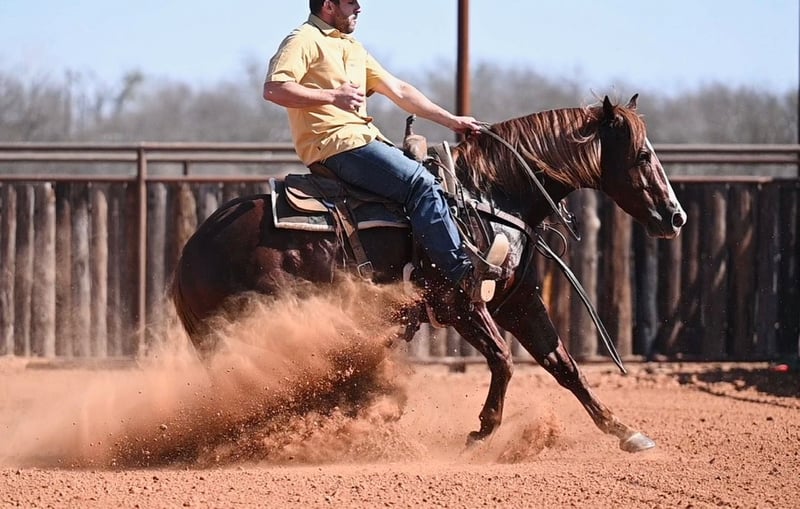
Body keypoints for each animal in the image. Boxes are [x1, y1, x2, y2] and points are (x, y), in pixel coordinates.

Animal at [171, 95, 686, 453]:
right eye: (643, 156)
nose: (675, 216)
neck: (490, 196)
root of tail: (190, 253)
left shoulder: (516, 300)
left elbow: (562, 364)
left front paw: (624, 431)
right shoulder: (458, 301)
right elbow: (504, 359)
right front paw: (482, 431)